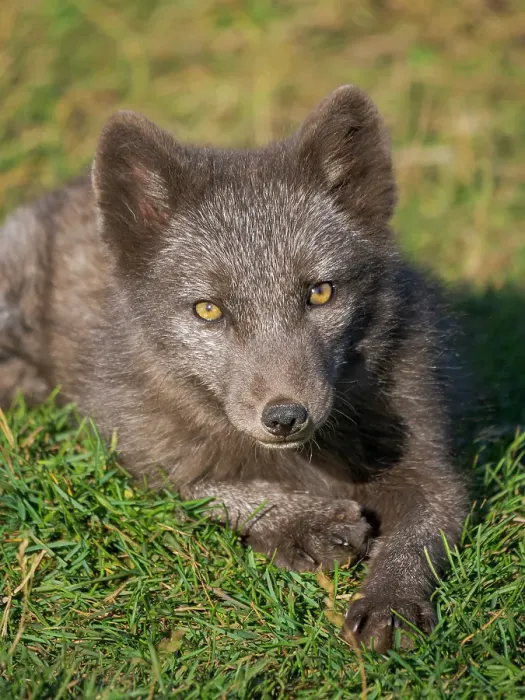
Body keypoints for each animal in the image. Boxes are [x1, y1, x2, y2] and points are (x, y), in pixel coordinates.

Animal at [0, 85, 468, 653]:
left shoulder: (432, 466)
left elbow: (419, 532)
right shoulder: (128, 449)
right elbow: (202, 487)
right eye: (208, 309)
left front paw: (391, 602)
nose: (285, 416)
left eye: (321, 292)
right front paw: (303, 523)